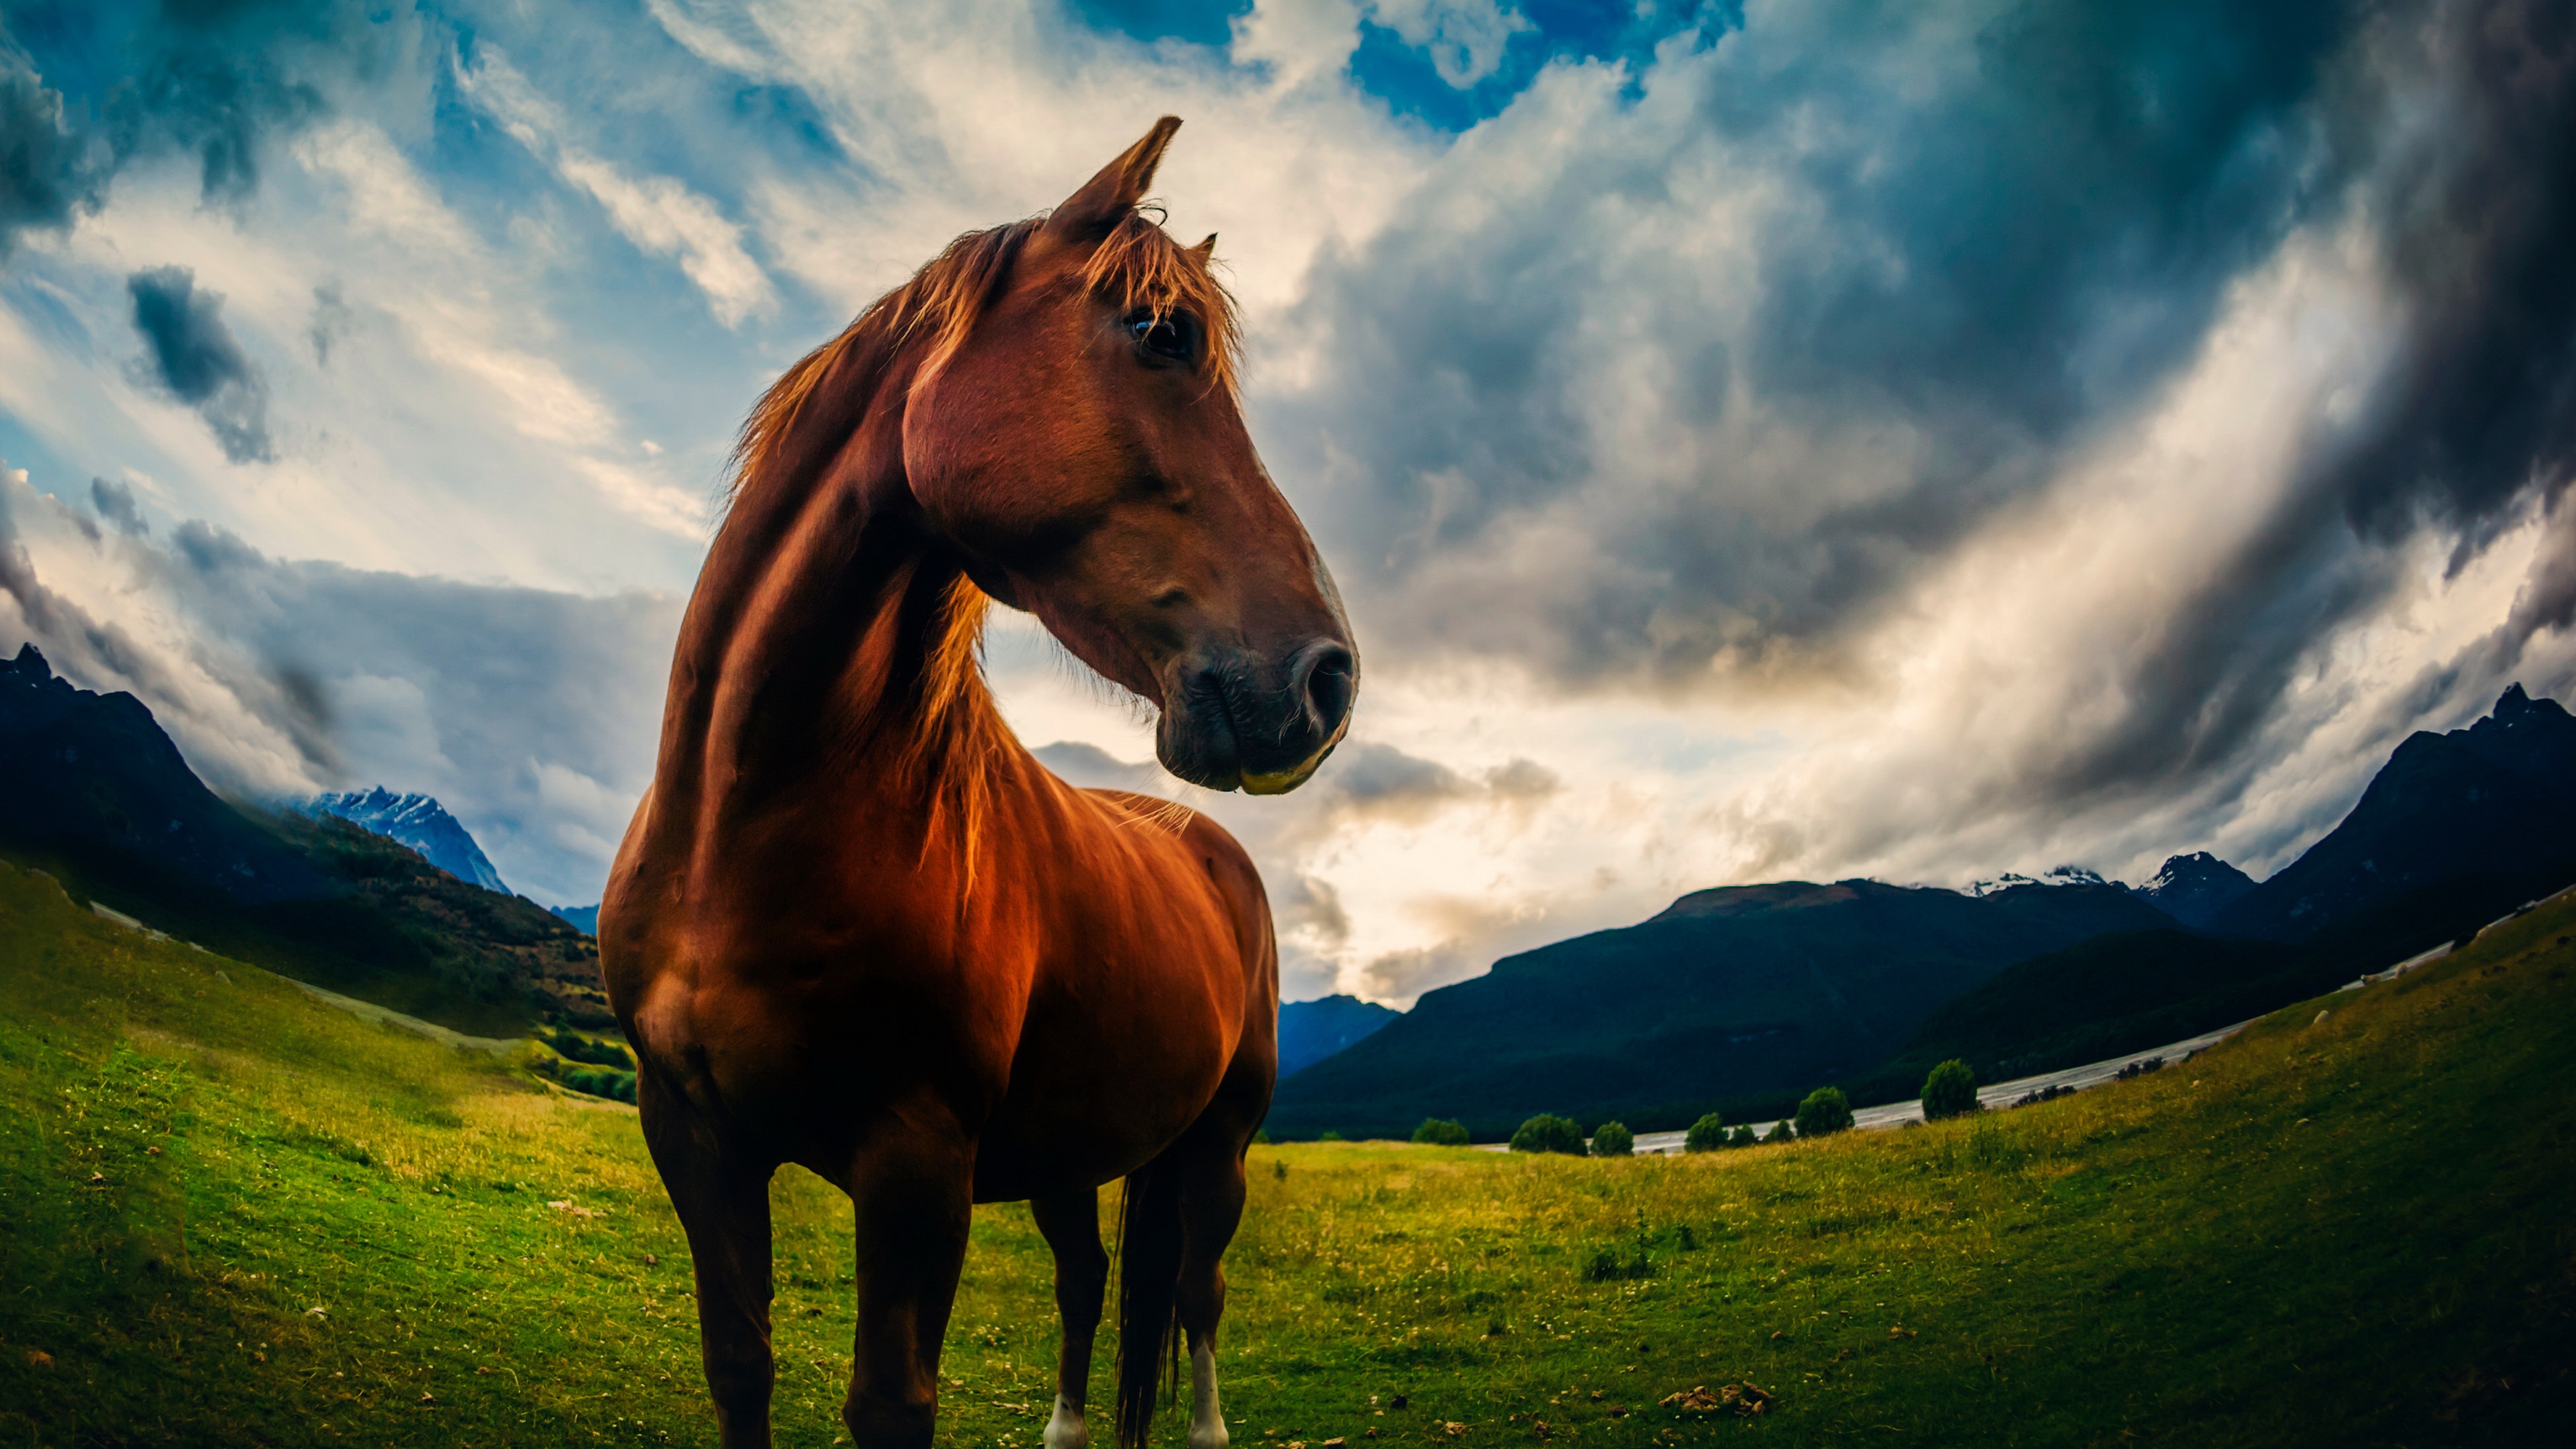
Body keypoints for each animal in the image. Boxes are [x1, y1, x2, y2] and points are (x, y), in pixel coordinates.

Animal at [599, 117, 1357, 1449]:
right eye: (1158, 334)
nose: (1326, 678)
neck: (744, 829)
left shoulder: (916, 1164)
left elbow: (891, 1403)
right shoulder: (691, 1132)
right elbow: (739, 1365)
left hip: (1217, 1146)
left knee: (1197, 1295)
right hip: (1075, 1146)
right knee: (1091, 1280)